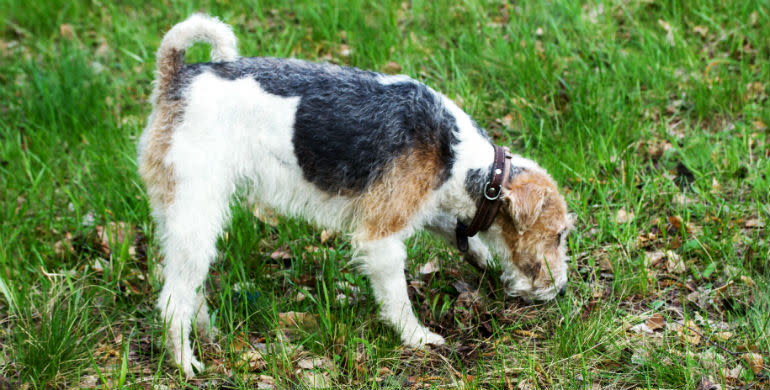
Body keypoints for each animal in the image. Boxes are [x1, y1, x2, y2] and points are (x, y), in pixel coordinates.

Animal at [136, 15, 568, 378]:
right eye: (560, 234)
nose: (561, 289)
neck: (460, 157)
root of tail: (177, 75)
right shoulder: (381, 234)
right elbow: (397, 297)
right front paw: (418, 338)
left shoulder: (422, 202)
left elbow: (456, 230)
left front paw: (480, 256)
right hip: (197, 208)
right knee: (172, 299)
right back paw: (186, 363)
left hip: (178, 211)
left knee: (188, 286)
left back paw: (206, 333)